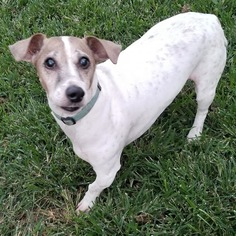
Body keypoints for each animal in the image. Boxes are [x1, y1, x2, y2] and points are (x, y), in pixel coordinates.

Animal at [8, 12, 227, 212]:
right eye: (49, 62)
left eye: (85, 61)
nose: (75, 92)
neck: (87, 114)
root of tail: (210, 17)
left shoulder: (108, 171)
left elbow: (94, 186)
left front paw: (86, 205)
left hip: (207, 85)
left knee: (202, 109)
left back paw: (195, 133)